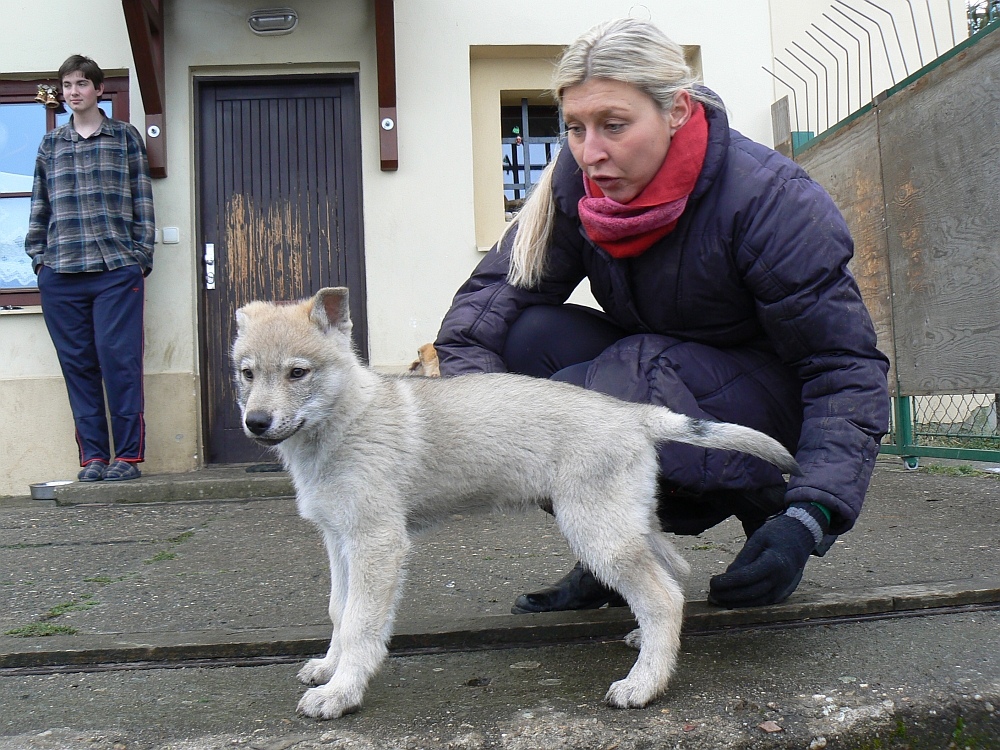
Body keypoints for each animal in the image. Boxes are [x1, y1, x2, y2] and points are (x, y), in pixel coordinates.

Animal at [230, 290, 800, 724]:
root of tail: (633, 412)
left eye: (298, 372)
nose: (255, 424)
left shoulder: (377, 542)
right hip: (621, 524)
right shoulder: (339, 540)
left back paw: (644, 685)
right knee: (672, 578)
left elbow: (360, 623)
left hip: (597, 530)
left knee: (663, 596)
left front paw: (341, 693)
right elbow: (338, 609)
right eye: (246, 373)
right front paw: (329, 668)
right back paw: (648, 646)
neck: (344, 420)